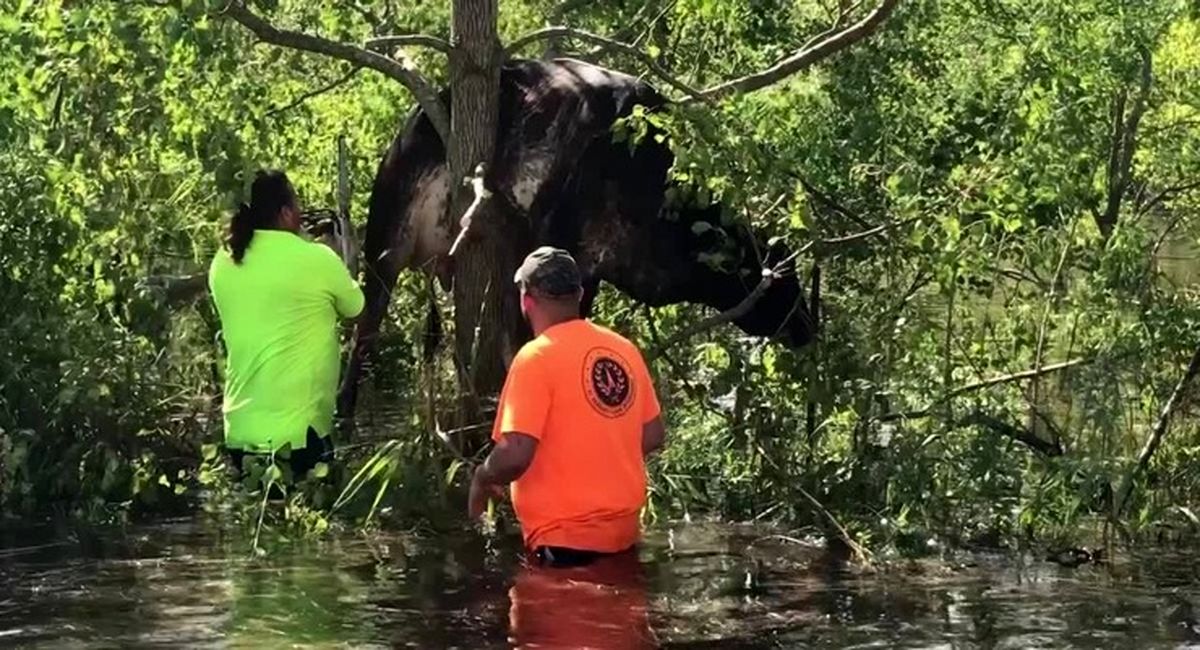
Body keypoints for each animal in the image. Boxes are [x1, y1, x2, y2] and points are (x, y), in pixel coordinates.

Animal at [338, 58, 816, 419]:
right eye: (781, 276)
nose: (808, 328)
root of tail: (407, 132)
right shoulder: (538, 248)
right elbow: (522, 343)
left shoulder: (589, 272)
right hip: (384, 252)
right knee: (361, 341)